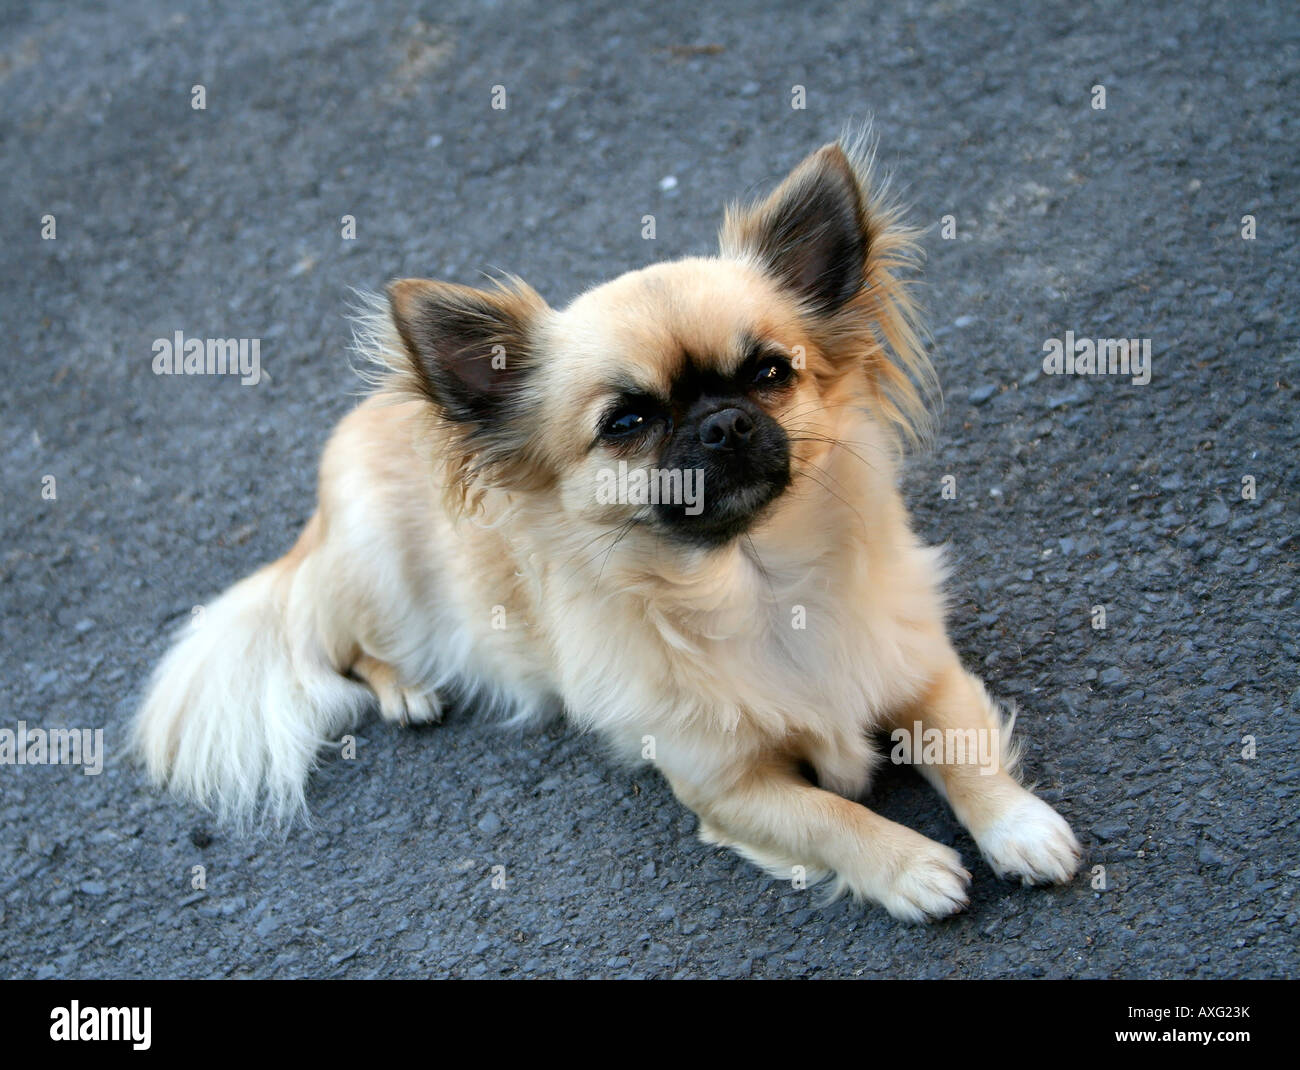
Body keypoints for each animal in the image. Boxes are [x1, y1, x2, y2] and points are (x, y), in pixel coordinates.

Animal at [137, 131, 1081, 920]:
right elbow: (828, 817)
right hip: (383, 572)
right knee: (350, 645)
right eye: (625, 422)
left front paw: (1017, 825)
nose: (723, 424)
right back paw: (405, 686)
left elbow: (961, 744)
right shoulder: (728, 787)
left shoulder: (923, 666)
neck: (759, 584)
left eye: (771, 373)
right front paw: (909, 866)